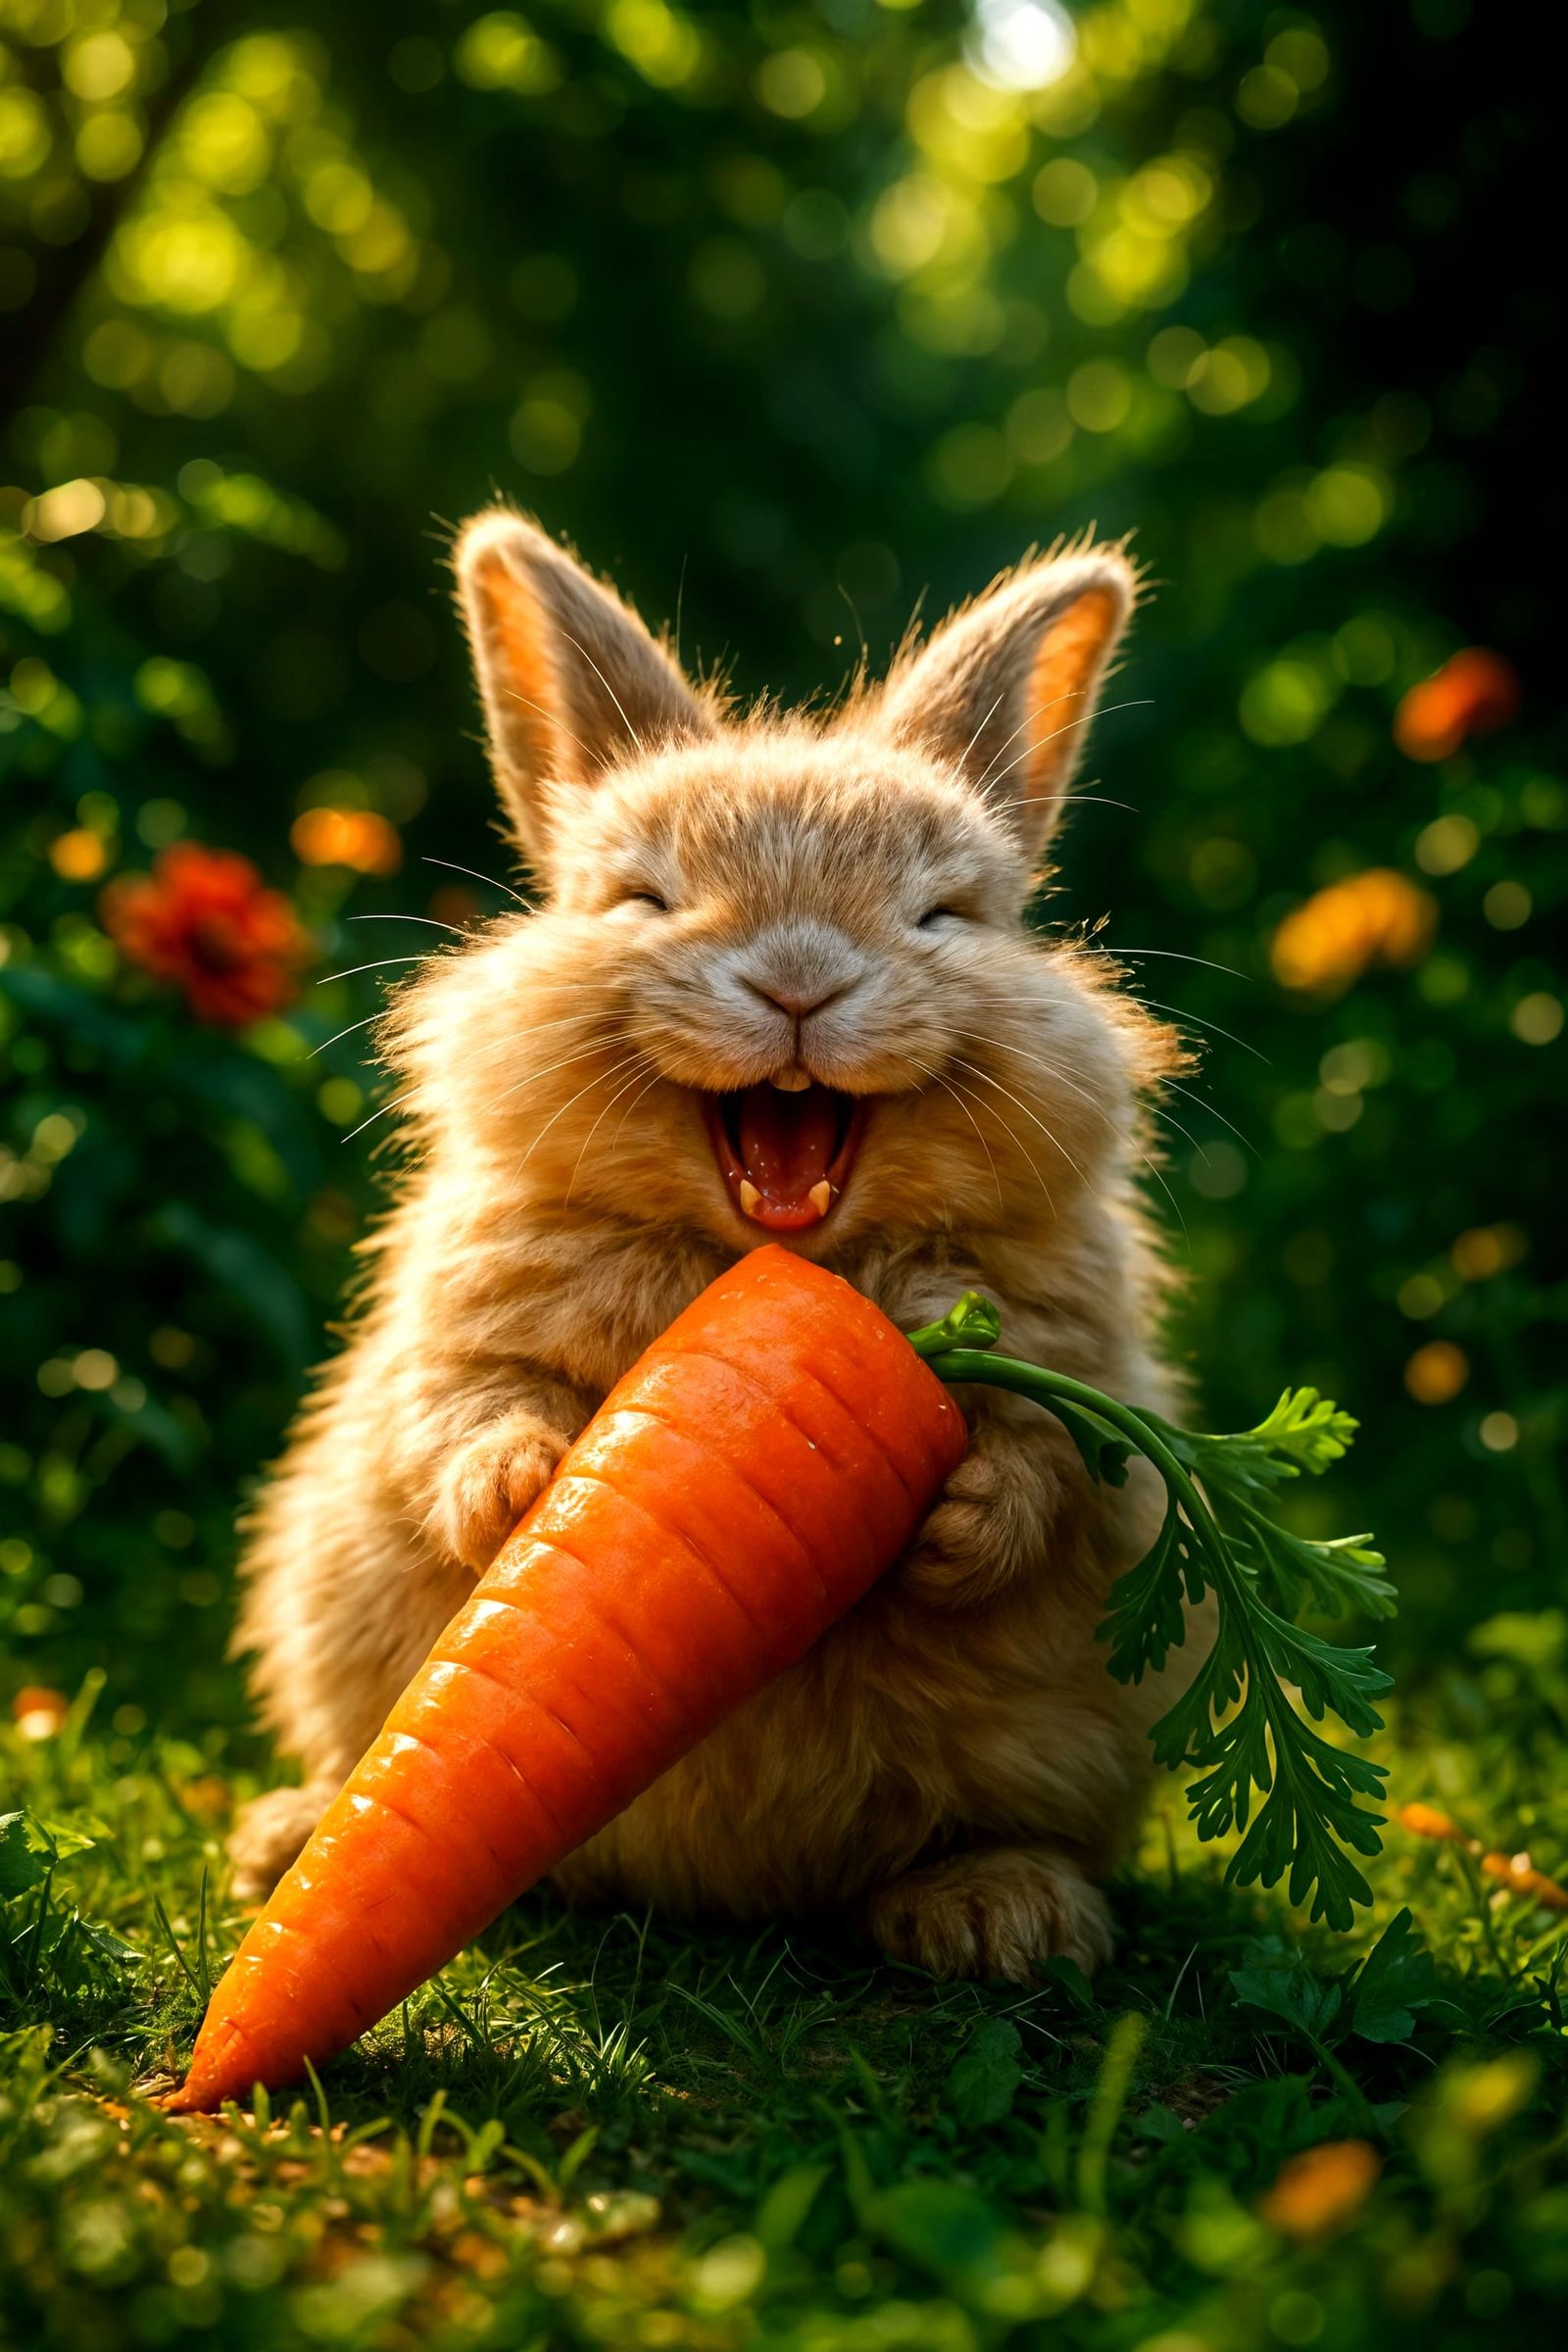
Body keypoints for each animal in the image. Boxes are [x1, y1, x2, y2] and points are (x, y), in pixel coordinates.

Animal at [228, 508, 1211, 1983]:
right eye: (643, 899)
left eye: (941, 917)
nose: (799, 978)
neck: (771, 1261)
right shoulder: (456, 1343)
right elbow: (463, 1420)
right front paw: (531, 1490)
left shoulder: (1072, 1365)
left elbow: (1043, 1463)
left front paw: (960, 1528)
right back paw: (286, 1839)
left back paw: (1002, 1917)